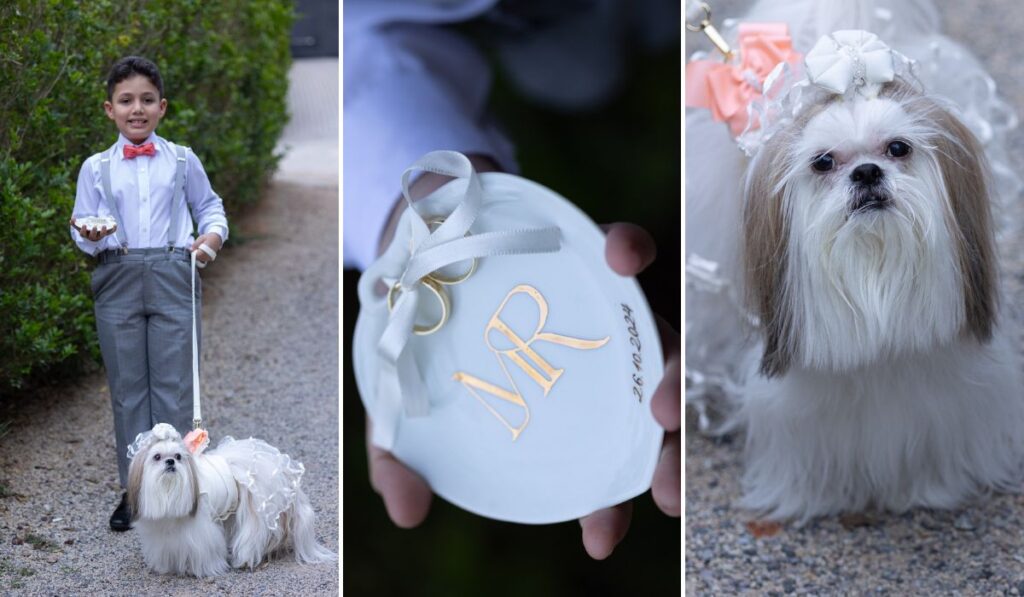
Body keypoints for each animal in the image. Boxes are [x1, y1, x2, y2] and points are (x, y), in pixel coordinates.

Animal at [123, 421, 331, 577]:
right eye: (157, 457)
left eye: (178, 456)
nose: (170, 462)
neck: (168, 494)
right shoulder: (163, 534)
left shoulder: (201, 533)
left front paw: (205, 570)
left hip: (254, 512)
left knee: (252, 537)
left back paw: (245, 560)